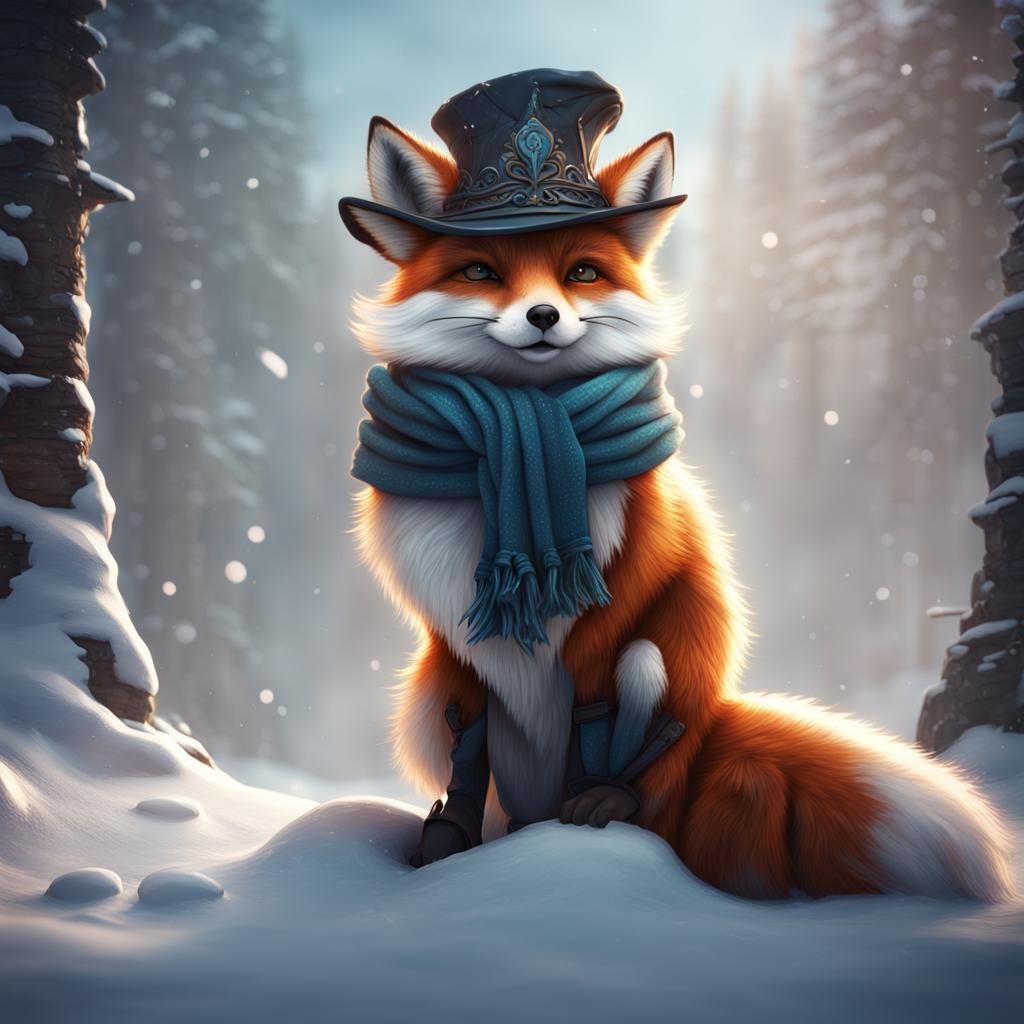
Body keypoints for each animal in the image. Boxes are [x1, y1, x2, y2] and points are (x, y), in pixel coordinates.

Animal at [341, 97, 1013, 901]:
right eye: (480, 270)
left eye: (582, 272)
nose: (543, 317)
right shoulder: (453, 639)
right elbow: (466, 729)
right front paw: (451, 837)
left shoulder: (620, 590)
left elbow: (594, 698)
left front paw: (585, 807)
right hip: (421, 695)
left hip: (675, 661)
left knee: (649, 726)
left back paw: (604, 802)